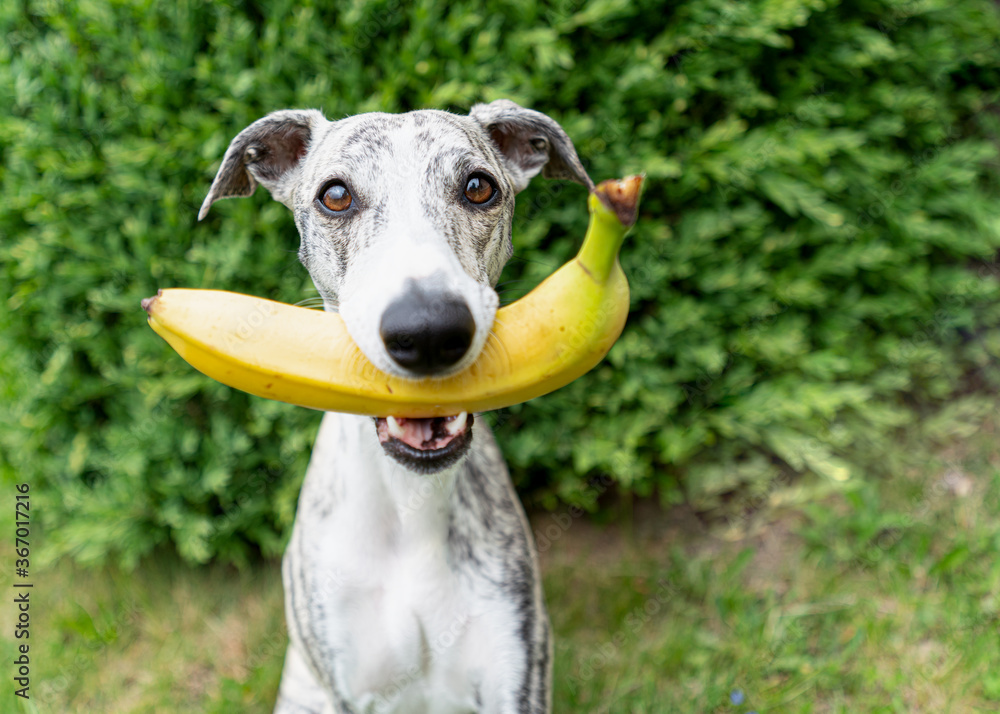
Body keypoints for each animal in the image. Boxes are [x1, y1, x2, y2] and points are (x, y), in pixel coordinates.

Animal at [200, 100, 596, 712]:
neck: (413, 505)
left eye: (478, 187)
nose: (428, 331)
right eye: (335, 195)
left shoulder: (516, 678)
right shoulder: (350, 688)